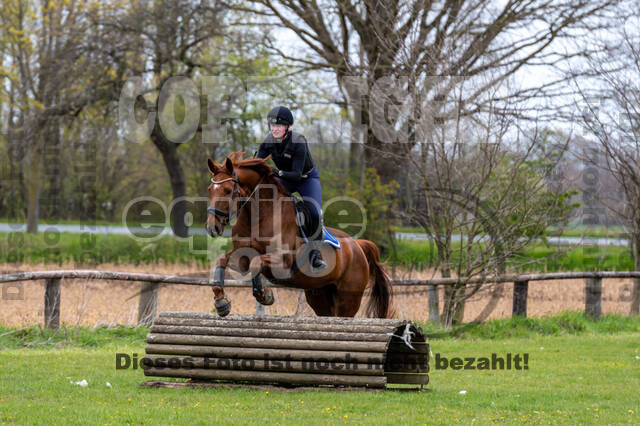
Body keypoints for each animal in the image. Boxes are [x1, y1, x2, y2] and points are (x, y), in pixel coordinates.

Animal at [208, 151, 392, 318]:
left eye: (227, 190)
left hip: (348, 299)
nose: (212, 227)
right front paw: (221, 302)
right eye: (210, 190)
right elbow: (223, 259)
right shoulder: (242, 255)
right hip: (320, 296)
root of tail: (358, 245)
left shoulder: (282, 262)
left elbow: (256, 262)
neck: (259, 216)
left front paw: (265, 295)